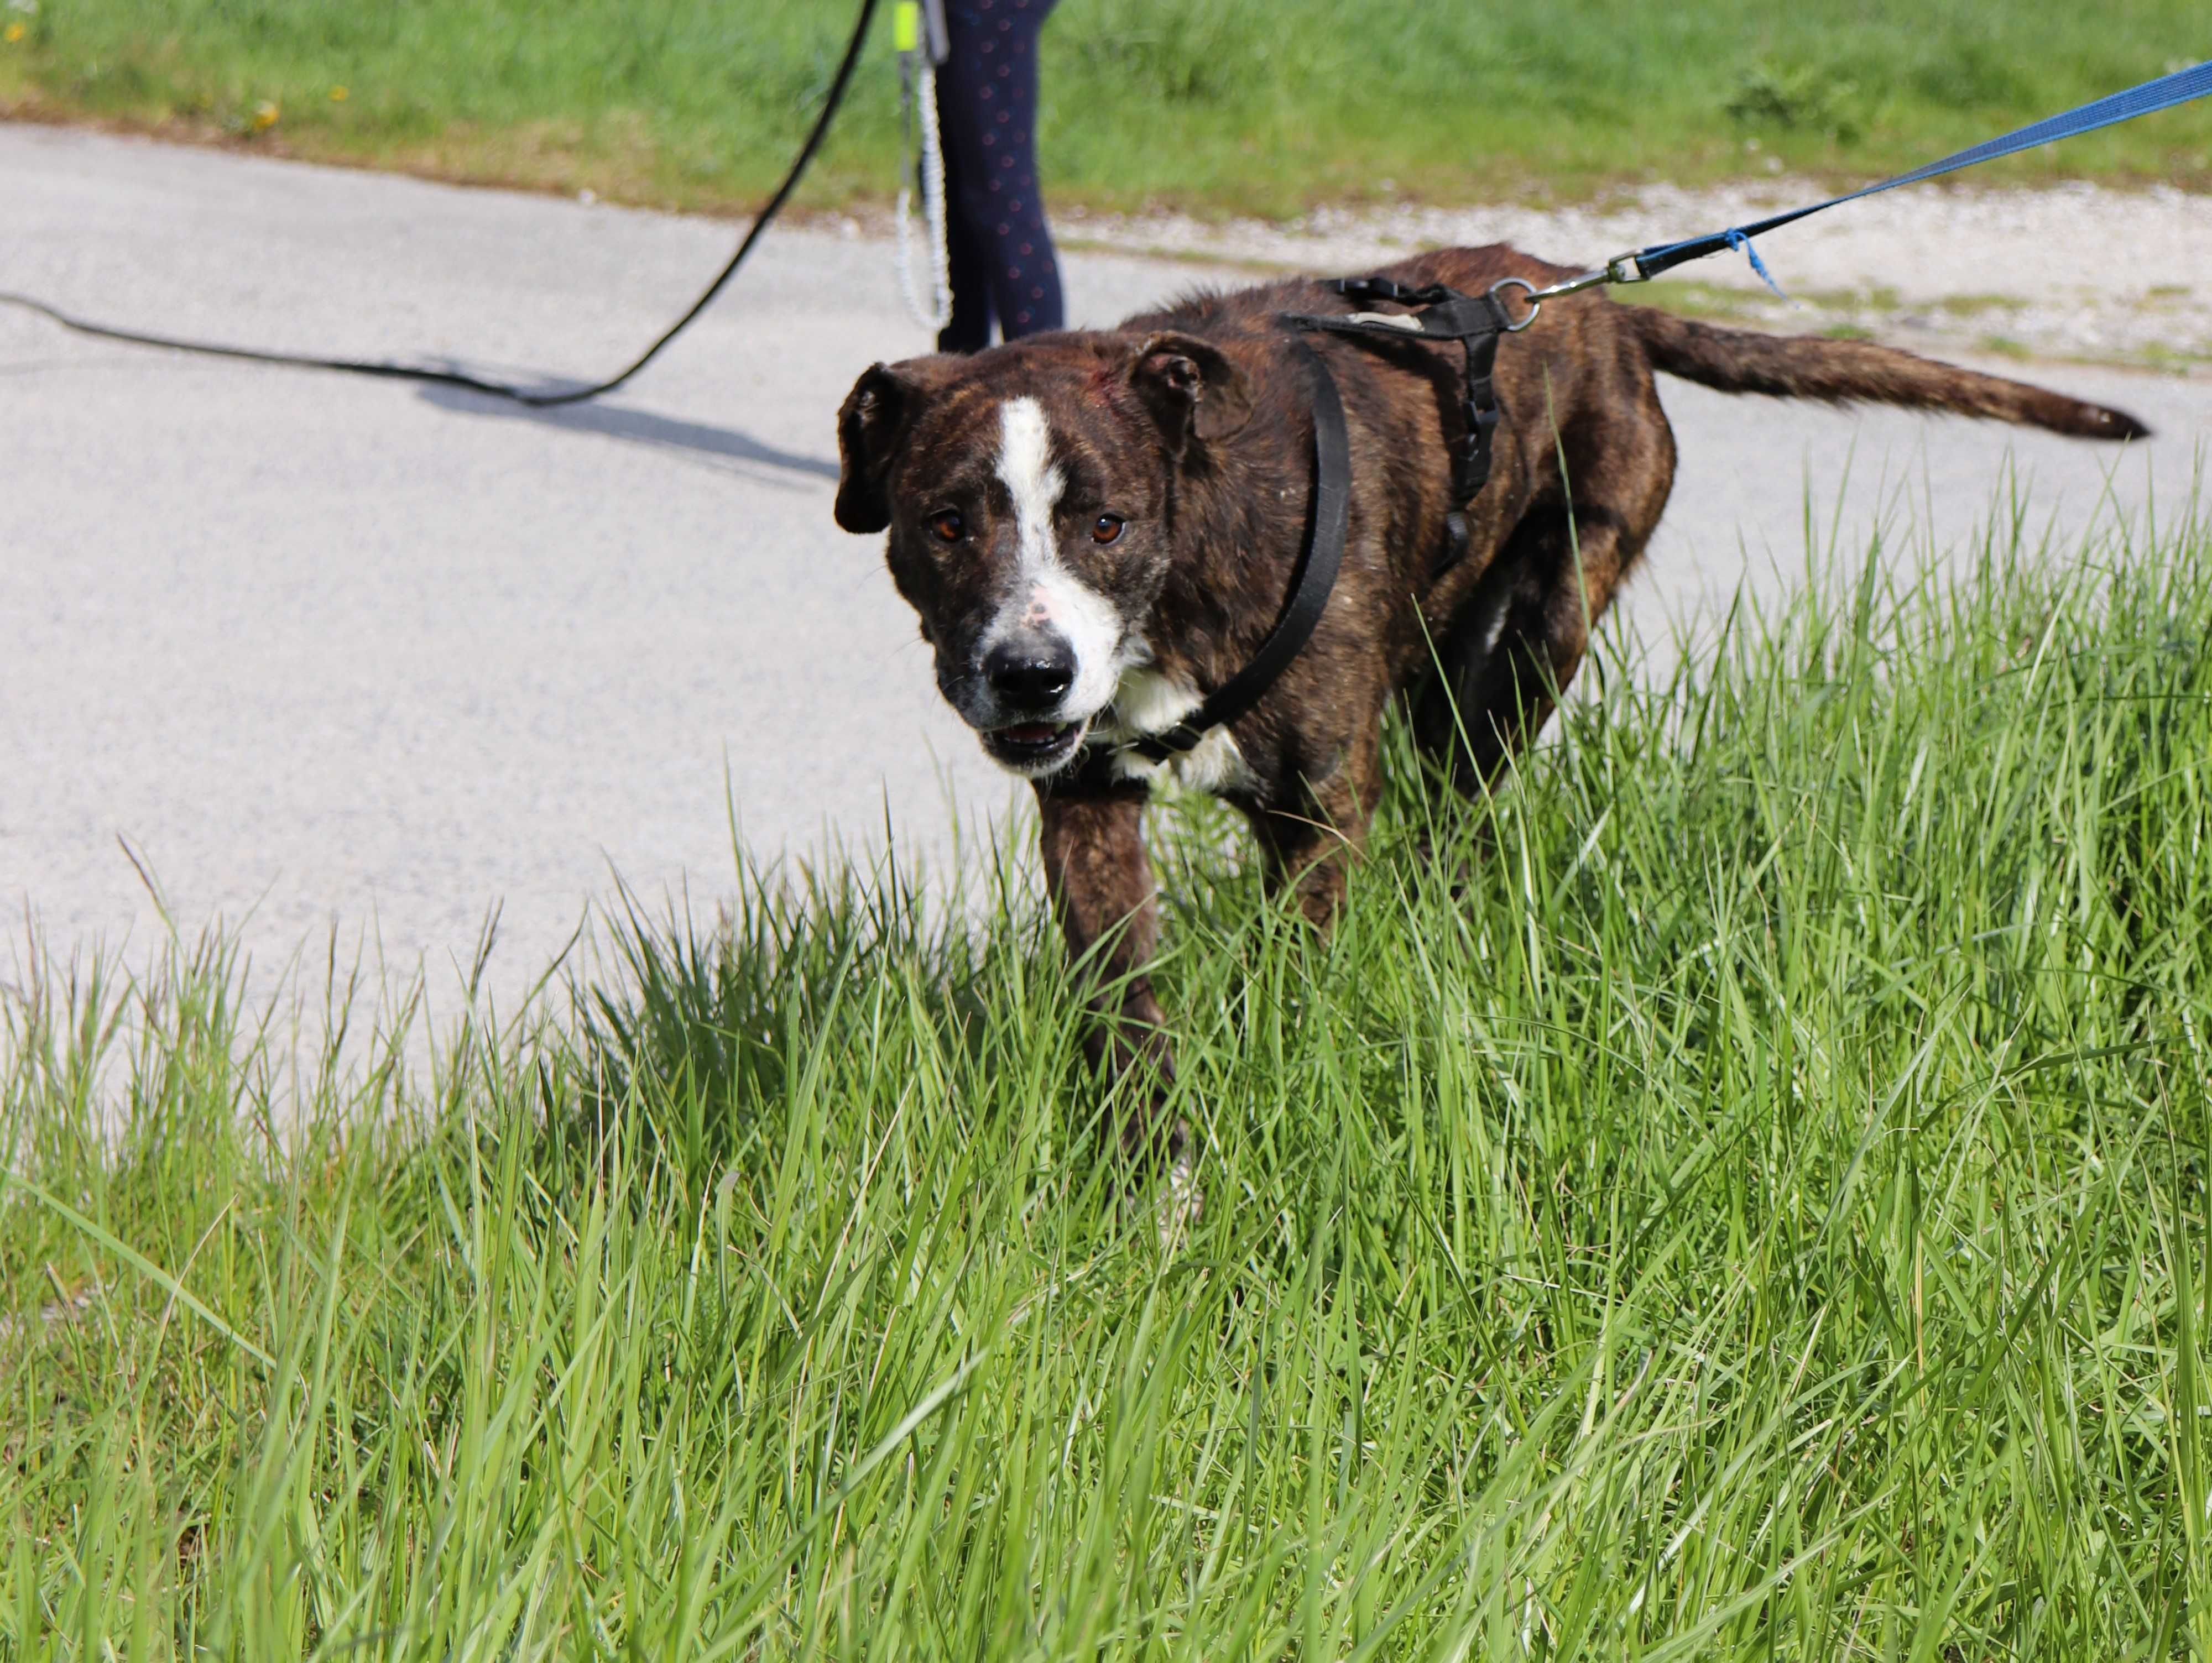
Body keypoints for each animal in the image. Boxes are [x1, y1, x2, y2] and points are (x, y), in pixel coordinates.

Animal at [832, 247, 2141, 1176]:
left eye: (1105, 523)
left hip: (1531, 644)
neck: (1184, 566)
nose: (1028, 672)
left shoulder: (1320, 810)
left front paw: (1280, 1097)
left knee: (1462, 819)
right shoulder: (1087, 805)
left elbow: (1295, 982)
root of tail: (1592, 305)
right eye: (943, 524)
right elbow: (1127, 1012)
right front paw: (1162, 1188)